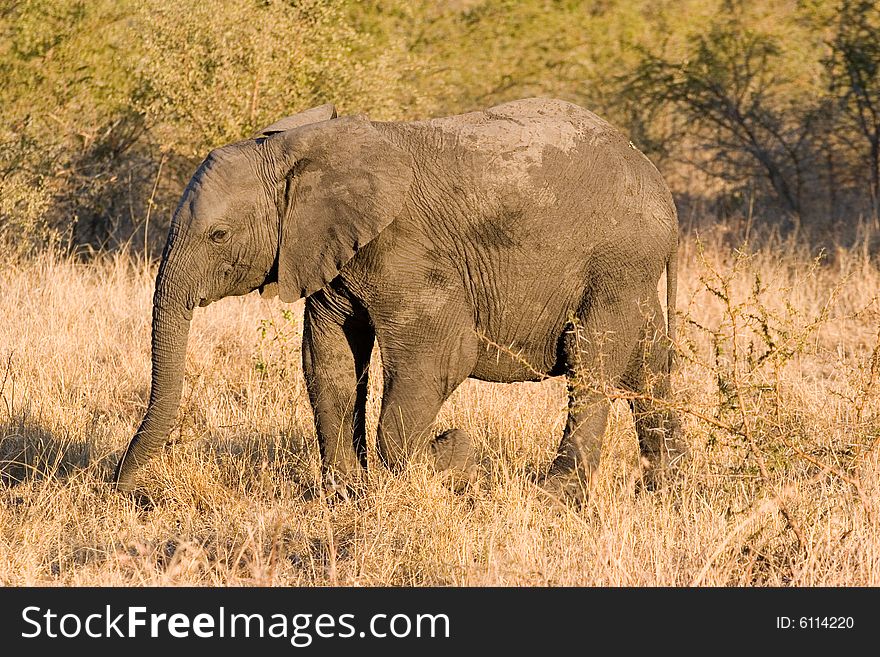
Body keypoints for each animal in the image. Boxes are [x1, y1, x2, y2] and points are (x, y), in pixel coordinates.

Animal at [111, 96, 688, 502]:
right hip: (630, 270)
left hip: (616, 261)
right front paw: (346, 493)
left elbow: (442, 355)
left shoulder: (405, 249)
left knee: (592, 361)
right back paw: (667, 492)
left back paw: (555, 497)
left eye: (218, 236)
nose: (129, 491)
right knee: (647, 364)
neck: (301, 149)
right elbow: (329, 362)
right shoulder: (329, 253)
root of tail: (657, 182)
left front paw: (452, 458)